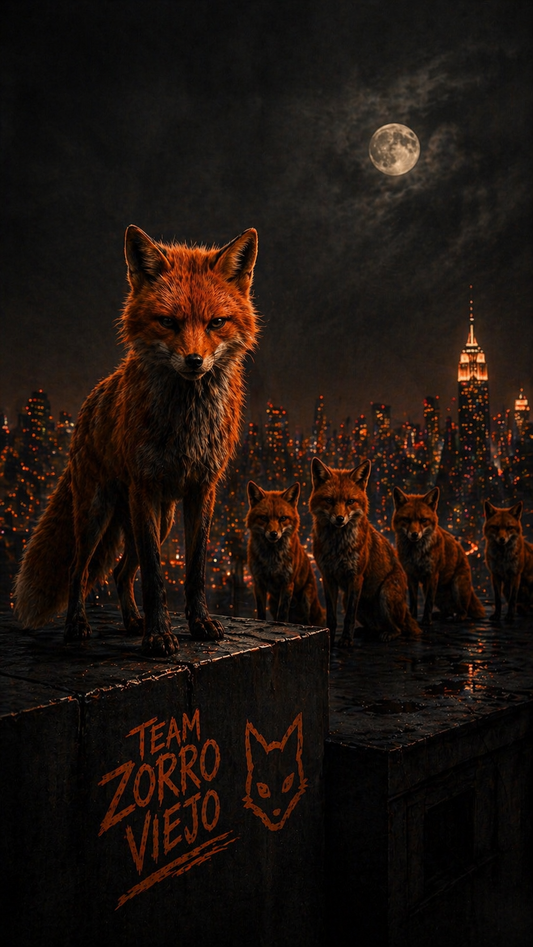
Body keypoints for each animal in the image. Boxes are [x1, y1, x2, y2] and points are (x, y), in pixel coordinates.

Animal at [13, 224, 259, 656]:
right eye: (168, 321)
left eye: (216, 322)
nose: (194, 361)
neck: (186, 422)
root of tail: (89, 403)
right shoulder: (144, 486)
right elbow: (156, 576)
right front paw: (159, 636)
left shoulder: (202, 488)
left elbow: (194, 568)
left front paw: (199, 623)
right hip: (96, 514)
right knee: (81, 569)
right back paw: (77, 625)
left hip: (161, 518)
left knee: (119, 572)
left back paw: (131, 621)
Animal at [246, 481, 325, 626]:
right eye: (264, 518)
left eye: (282, 518)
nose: (273, 534)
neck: (271, 559)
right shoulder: (259, 582)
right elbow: (261, 613)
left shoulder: (287, 582)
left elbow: (282, 614)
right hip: (272, 603)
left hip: (306, 599)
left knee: (306, 621)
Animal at [309, 458, 421, 647]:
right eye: (329, 500)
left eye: (350, 501)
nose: (340, 519)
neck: (337, 546)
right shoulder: (328, 577)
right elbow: (332, 617)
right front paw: (330, 639)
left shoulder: (355, 576)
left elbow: (349, 617)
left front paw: (346, 640)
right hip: (349, 599)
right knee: (375, 627)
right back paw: (367, 632)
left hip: (385, 595)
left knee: (398, 629)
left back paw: (388, 634)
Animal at [392, 486, 485, 625]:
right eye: (406, 520)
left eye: (423, 520)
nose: (414, 534)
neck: (416, 553)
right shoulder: (411, 575)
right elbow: (413, 602)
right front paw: (413, 619)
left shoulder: (432, 574)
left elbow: (428, 603)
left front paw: (426, 621)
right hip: (432, 591)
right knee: (448, 610)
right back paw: (440, 615)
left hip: (456, 587)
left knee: (464, 610)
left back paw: (458, 616)